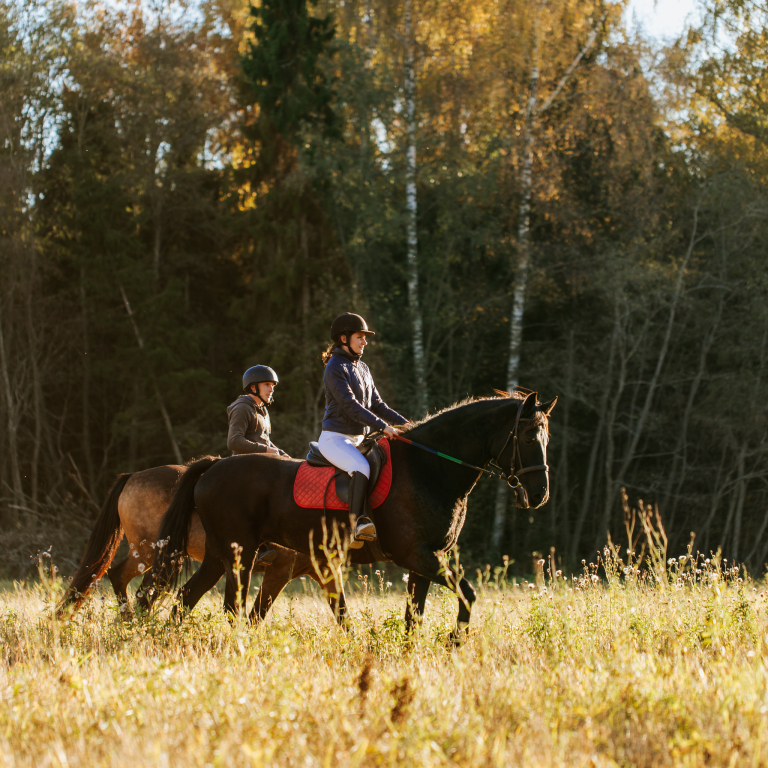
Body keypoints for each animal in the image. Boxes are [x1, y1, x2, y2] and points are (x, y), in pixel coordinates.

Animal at [146, 392, 552, 640]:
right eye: (529, 437)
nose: (539, 495)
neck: (427, 467)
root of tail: (214, 466)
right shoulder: (416, 554)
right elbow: (467, 593)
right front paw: (454, 640)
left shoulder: (424, 559)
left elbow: (414, 615)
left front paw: (413, 653)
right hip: (240, 554)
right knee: (230, 605)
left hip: (219, 555)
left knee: (186, 597)